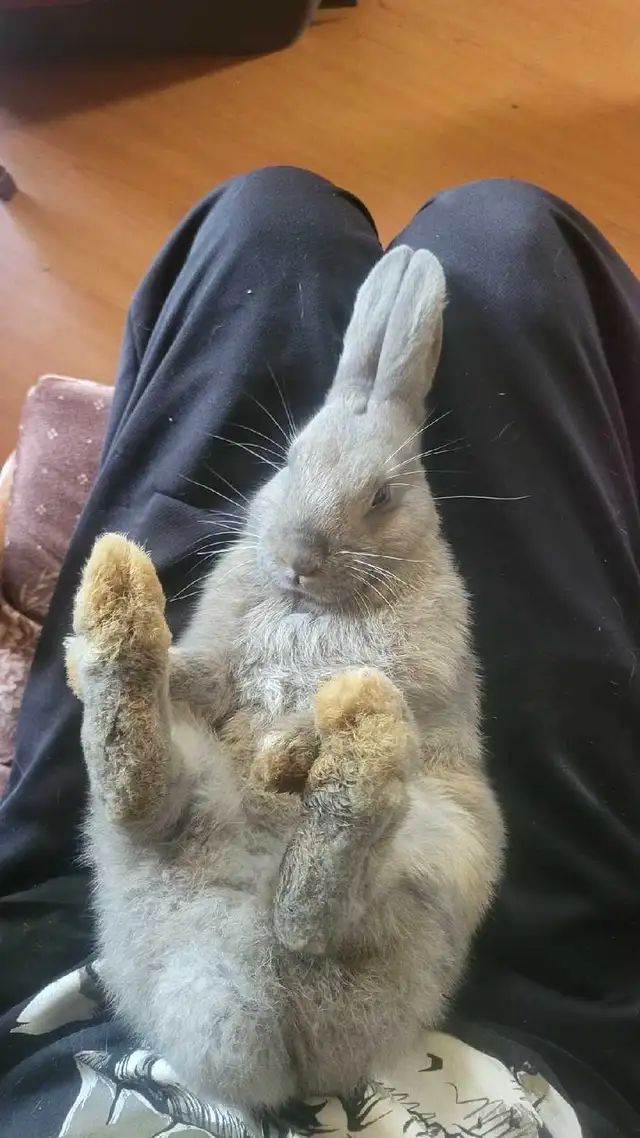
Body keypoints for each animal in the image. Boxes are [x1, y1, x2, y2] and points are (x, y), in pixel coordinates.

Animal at [66, 246, 505, 1117]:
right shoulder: (217, 666)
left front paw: (288, 751)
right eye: (289, 460)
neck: (316, 604)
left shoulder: (420, 678)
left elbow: (362, 703)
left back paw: (343, 753)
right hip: (175, 808)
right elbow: (197, 675)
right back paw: (119, 619)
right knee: (144, 801)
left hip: (450, 843)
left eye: (382, 497)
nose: (299, 557)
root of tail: (259, 1001)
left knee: (325, 909)